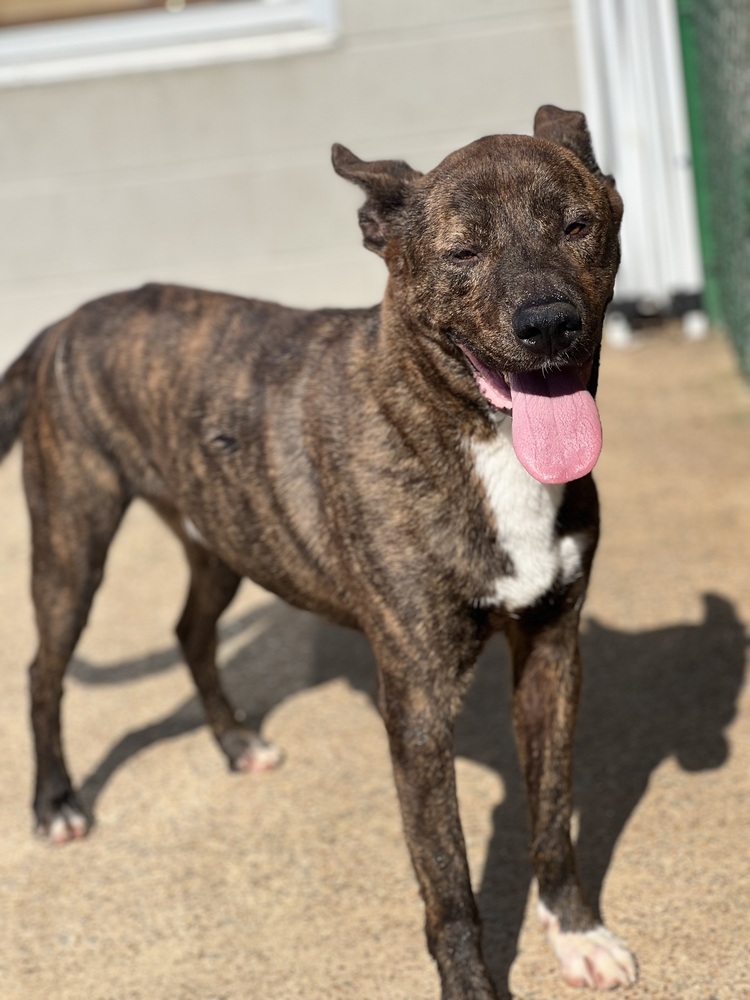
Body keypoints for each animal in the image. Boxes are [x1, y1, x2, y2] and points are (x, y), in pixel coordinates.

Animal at [0, 105, 636, 996]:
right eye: (461, 251)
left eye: (576, 226)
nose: (548, 325)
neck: (476, 436)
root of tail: (64, 321)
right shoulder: (417, 704)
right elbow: (450, 883)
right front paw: (473, 982)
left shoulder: (551, 652)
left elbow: (552, 813)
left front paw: (576, 931)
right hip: (72, 541)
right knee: (42, 671)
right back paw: (56, 803)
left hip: (223, 535)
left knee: (189, 630)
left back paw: (237, 743)